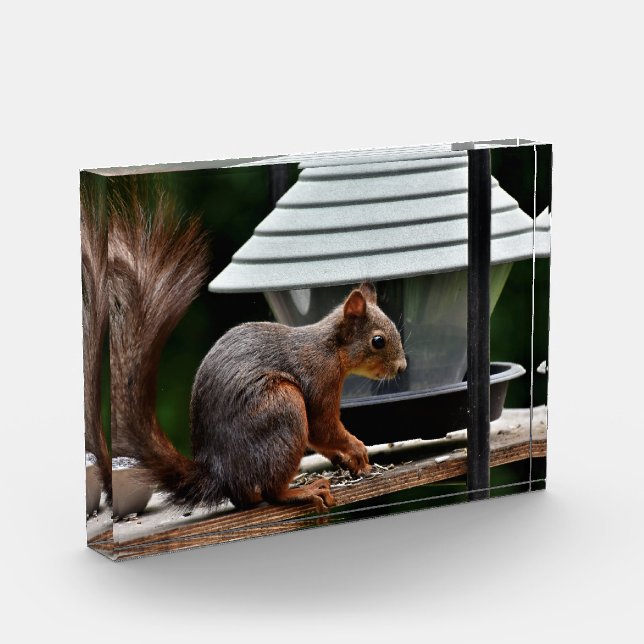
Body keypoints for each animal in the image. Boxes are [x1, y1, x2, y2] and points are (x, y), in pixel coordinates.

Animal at [110, 190, 407, 512]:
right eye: (378, 341)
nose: (401, 367)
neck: (331, 349)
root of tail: (223, 476)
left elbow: (319, 440)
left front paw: (349, 461)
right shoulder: (318, 380)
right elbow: (322, 428)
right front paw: (357, 448)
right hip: (283, 408)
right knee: (272, 491)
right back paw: (302, 490)